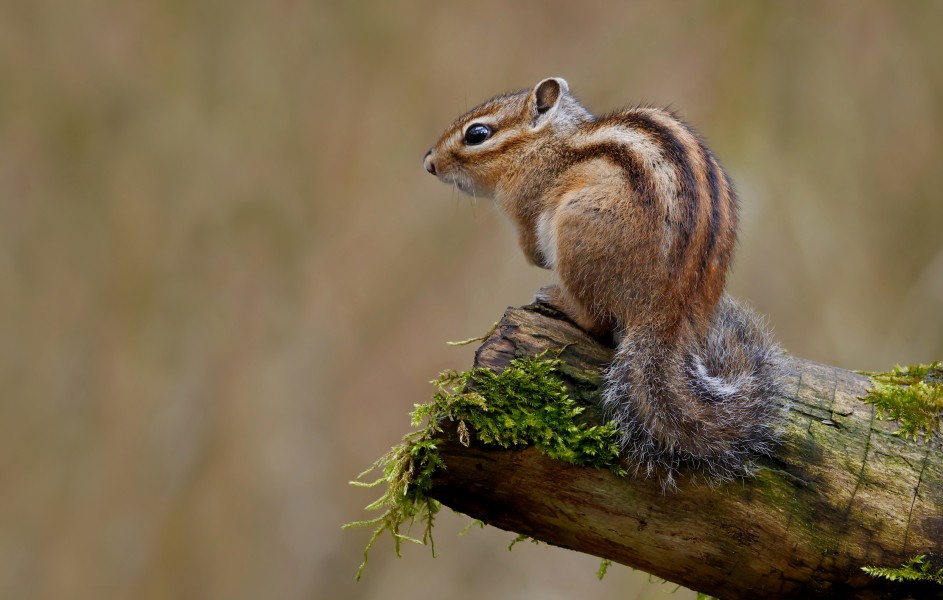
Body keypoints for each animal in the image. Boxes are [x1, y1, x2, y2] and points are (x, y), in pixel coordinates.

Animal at [423, 77, 785, 487]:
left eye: (477, 134)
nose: (429, 162)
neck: (547, 144)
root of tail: (667, 312)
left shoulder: (525, 205)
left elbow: (531, 248)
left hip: (575, 231)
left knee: (598, 322)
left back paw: (555, 299)